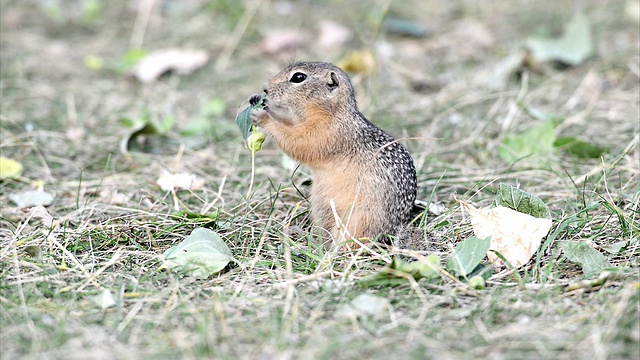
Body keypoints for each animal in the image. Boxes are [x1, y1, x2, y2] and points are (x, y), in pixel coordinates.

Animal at [248, 61, 418, 248]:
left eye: (298, 77)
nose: (265, 89)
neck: (332, 112)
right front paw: (258, 102)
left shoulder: (324, 133)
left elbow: (297, 141)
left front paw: (263, 116)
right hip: (321, 208)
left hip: (357, 219)